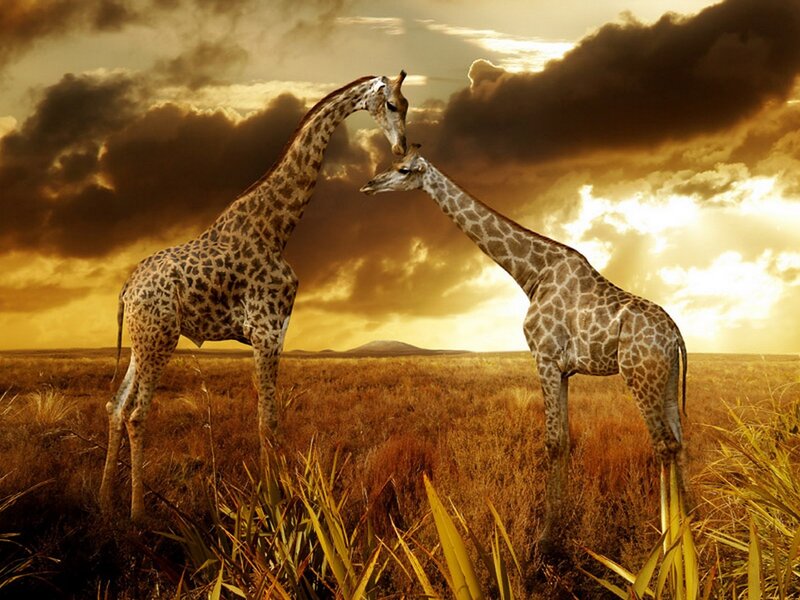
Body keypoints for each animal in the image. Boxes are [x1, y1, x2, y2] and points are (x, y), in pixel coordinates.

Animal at [100, 72, 409, 521]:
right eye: (390, 104)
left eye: (407, 104)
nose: (402, 147)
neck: (277, 229)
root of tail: (126, 290)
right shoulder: (266, 333)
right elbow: (269, 422)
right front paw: (274, 503)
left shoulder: (271, 334)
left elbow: (265, 419)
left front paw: (275, 498)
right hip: (159, 339)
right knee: (137, 413)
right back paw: (139, 513)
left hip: (141, 343)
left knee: (116, 406)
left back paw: (104, 501)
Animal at [360, 147, 687, 555]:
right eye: (392, 164)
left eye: (404, 169)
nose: (369, 185)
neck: (532, 274)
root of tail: (675, 334)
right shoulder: (563, 369)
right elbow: (564, 440)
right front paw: (560, 528)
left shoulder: (544, 358)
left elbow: (553, 442)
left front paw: (546, 539)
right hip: (667, 377)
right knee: (679, 440)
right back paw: (688, 528)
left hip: (639, 374)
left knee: (663, 443)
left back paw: (667, 542)